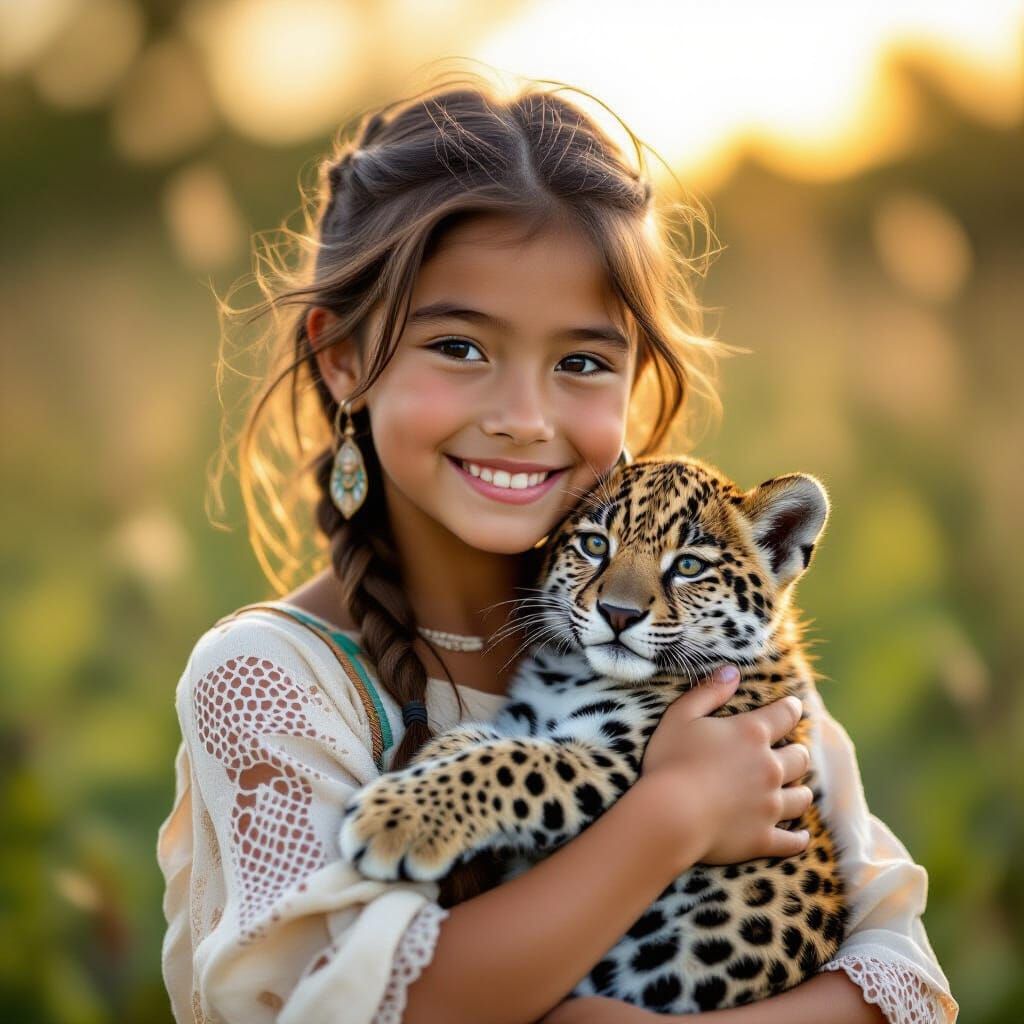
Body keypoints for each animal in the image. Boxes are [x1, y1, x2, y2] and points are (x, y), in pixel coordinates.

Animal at [339, 453, 848, 1013]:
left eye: (689, 567)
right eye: (595, 545)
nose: (619, 613)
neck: (570, 673)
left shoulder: (617, 759)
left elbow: (511, 764)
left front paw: (393, 820)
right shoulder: (529, 720)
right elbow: (482, 741)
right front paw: (422, 763)